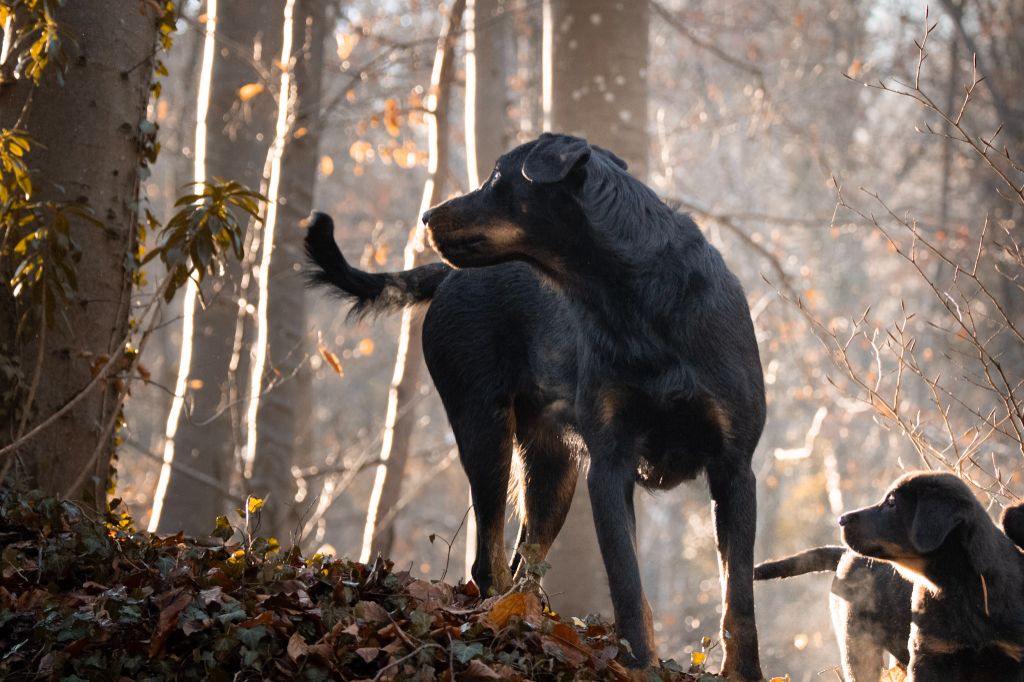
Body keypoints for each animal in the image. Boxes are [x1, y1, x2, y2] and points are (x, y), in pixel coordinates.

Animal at [305, 133, 770, 675]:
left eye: (496, 177)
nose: (426, 216)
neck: (640, 295)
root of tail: (446, 278)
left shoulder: (733, 467)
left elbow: (739, 597)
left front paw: (744, 673)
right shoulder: (609, 466)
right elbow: (628, 585)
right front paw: (638, 664)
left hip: (550, 466)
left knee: (522, 560)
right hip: (485, 432)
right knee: (489, 562)